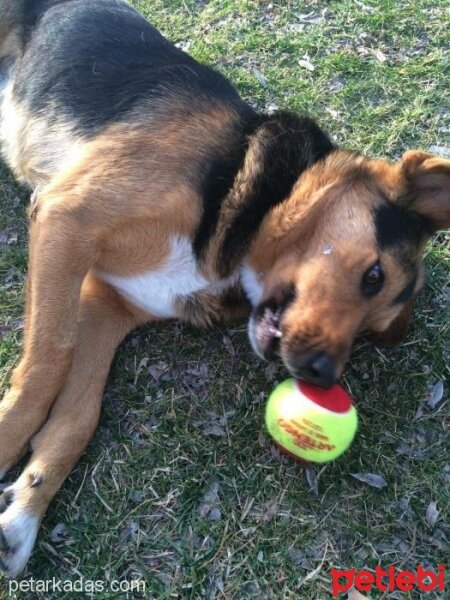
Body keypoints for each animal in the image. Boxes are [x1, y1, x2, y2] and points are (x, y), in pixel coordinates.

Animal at [0, 0, 448, 580]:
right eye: (374, 276)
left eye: (372, 333)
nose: (321, 376)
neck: (253, 208)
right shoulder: (65, 221)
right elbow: (45, 366)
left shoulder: (103, 303)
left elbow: (78, 417)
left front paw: (24, 513)